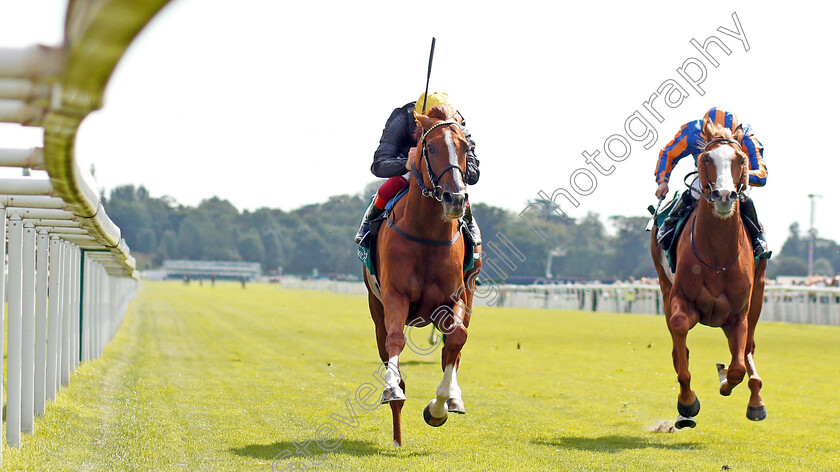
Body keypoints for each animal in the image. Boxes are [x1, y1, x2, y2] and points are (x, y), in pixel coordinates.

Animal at [364, 103, 482, 446]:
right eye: (429, 147)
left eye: (466, 148)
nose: (455, 198)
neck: (427, 233)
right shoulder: (394, 295)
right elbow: (394, 342)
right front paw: (391, 388)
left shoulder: (455, 297)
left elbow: (456, 339)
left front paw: (440, 406)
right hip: (375, 304)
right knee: (386, 344)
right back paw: (397, 435)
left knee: (453, 349)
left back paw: (454, 397)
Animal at [652, 121, 772, 428]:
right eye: (707, 158)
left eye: (741, 159)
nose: (724, 196)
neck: (718, 257)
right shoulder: (682, 299)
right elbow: (680, 339)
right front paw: (687, 403)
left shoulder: (738, 313)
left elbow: (738, 366)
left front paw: (726, 379)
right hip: (664, 285)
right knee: (678, 343)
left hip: (758, 294)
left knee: (749, 347)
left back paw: (756, 400)